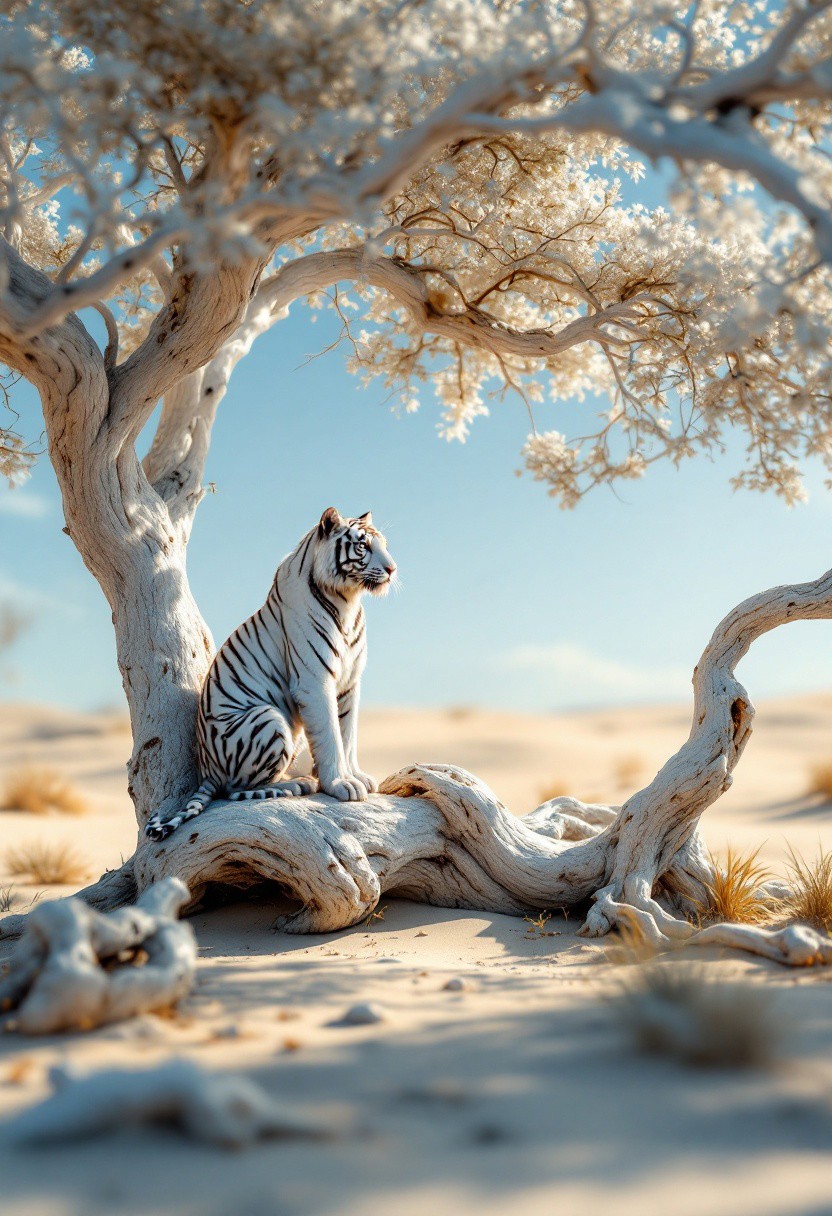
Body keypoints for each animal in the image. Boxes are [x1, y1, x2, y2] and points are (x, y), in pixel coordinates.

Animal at [144, 507, 397, 841]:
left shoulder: (349, 683)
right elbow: (330, 736)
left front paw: (356, 776)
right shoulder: (314, 682)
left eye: (383, 545)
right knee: (236, 789)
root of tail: (207, 770)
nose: (393, 569)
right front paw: (340, 784)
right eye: (363, 546)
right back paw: (297, 783)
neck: (349, 600)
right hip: (269, 718)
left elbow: (348, 734)